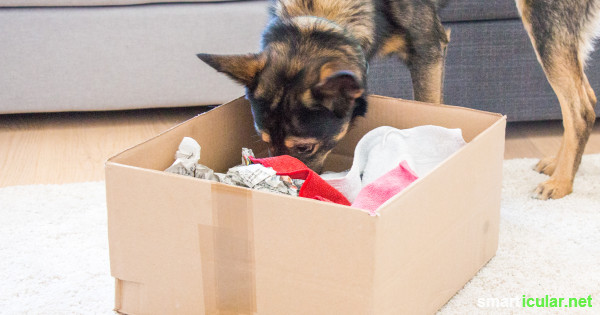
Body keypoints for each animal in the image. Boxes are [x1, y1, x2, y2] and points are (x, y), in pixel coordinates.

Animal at [199, 0, 596, 200]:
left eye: (306, 148)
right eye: (264, 142)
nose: (291, 192)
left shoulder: (429, 48)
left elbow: (431, 107)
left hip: (542, 15)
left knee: (578, 107)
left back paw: (562, 183)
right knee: (585, 97)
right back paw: (560, 165)